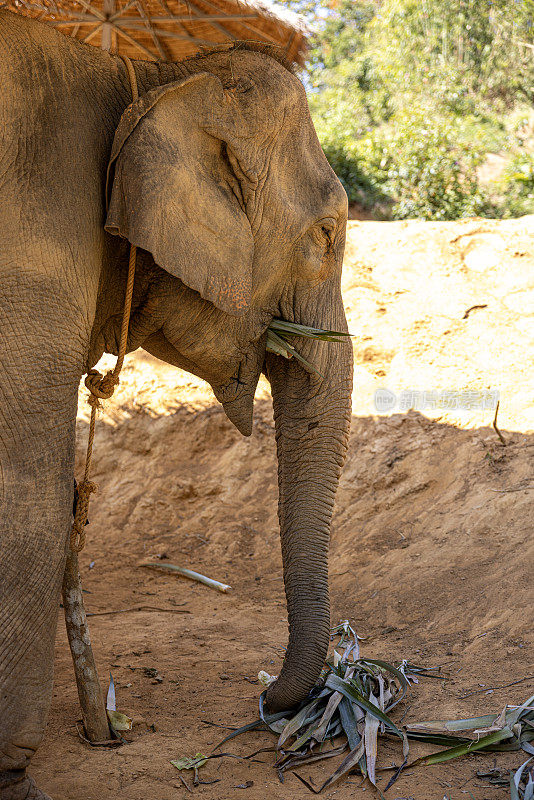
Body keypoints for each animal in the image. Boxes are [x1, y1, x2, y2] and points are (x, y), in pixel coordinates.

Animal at [1, 7, 356, 800]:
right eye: (326, 235)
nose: (267, 700)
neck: (144, 76)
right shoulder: (34, 252)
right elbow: (31, 494)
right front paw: (11, 765)